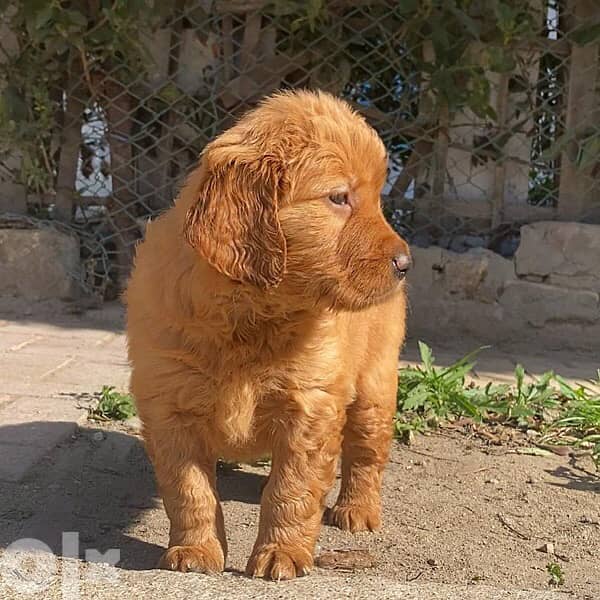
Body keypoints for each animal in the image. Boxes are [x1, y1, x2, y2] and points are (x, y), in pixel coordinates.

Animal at [124, 90, 410, 580]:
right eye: (339, 197)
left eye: (376, 198)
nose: (405, 263)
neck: (251, 315)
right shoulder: (169, 407)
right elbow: (189, 488)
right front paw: (195, 550)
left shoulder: (310, 407)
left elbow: (291, 488)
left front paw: (282, 553)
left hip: (376, 385)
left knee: (366, 452)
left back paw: (357, 510)